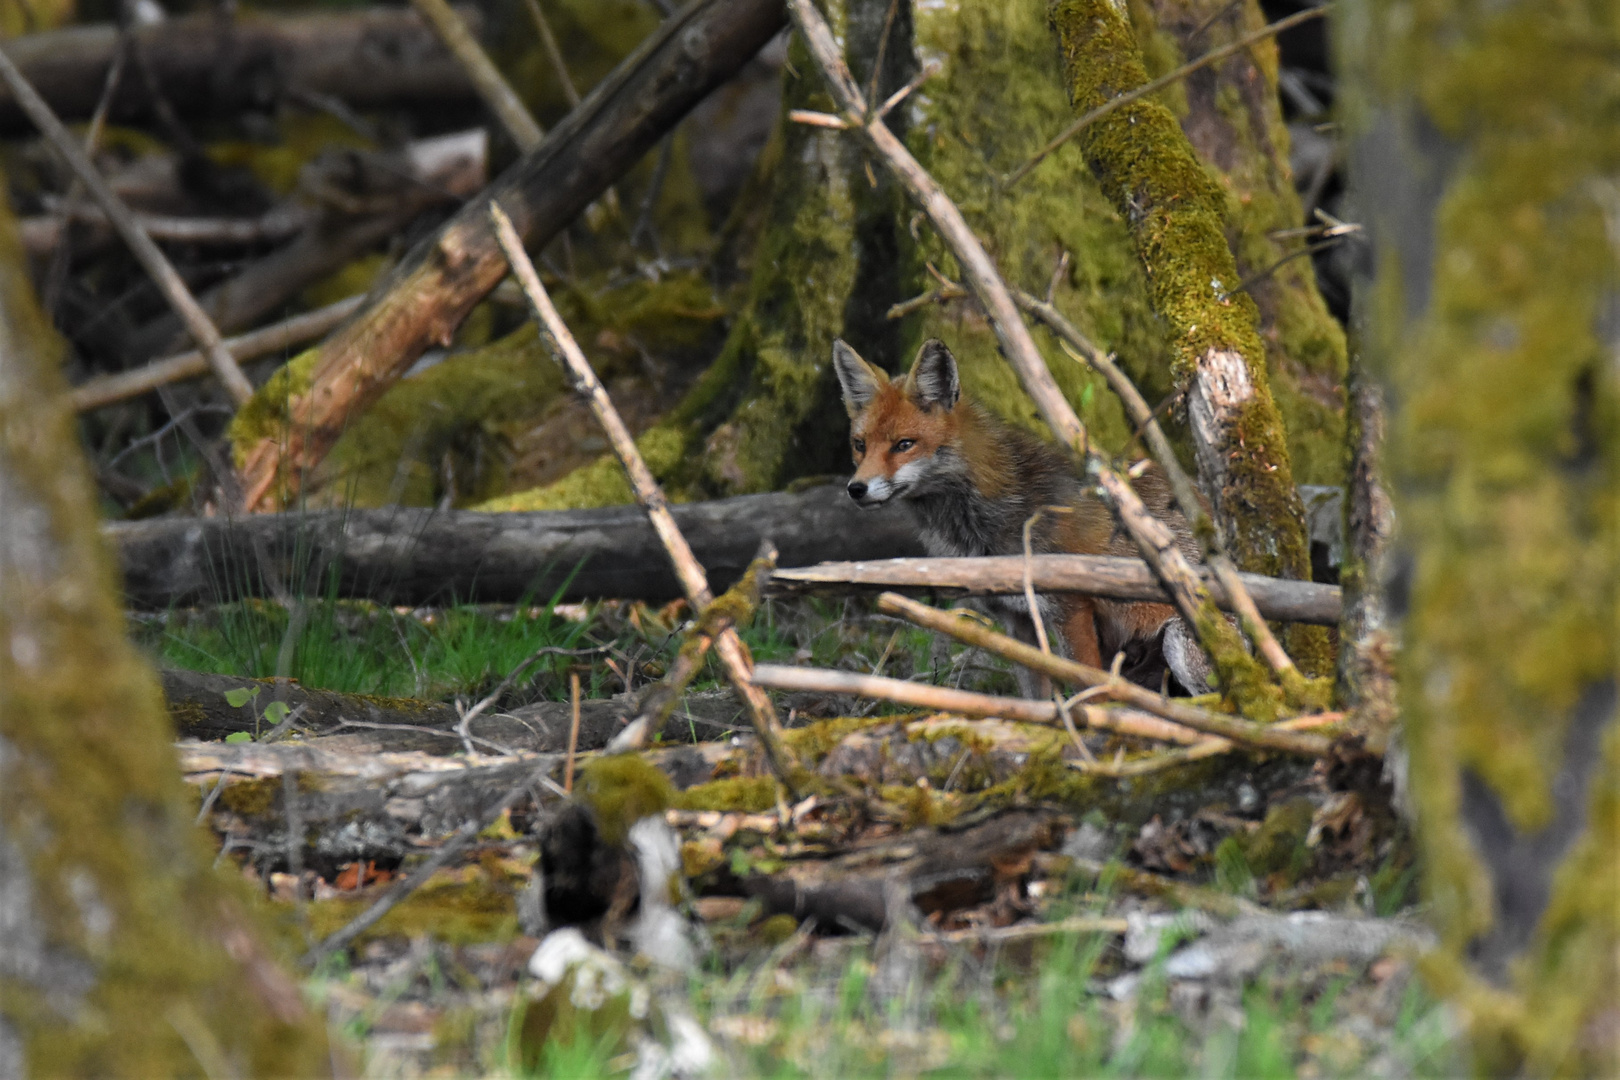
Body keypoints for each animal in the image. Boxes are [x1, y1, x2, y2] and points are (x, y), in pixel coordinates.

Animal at [842, 335, 1211, 693]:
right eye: (860, 445)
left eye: (904, 444)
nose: (855, 489)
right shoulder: (1016, 619)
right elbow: (1036, 693)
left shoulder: (1071, 607)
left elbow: (1089, 685)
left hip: (1178, 643)